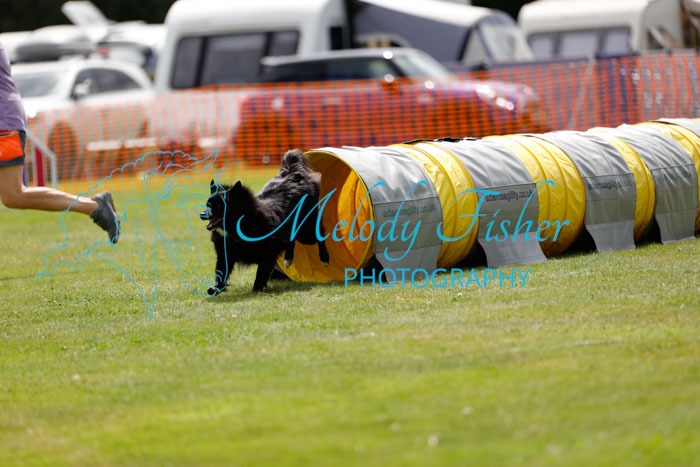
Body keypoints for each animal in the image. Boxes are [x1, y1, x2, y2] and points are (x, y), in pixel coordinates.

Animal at [200, 149, 330, 296]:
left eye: (218, 206)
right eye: (208, 204)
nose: (202, 214)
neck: (239, 225)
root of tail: (293, 172)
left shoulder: (267, 254)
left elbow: (261, 273)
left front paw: (257, 289)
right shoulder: (224, 254)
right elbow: (221, 272)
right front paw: (217, 288)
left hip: (307, 232)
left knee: (320, 235)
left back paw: (324, 259)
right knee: (293, 239)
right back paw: (288, 259)